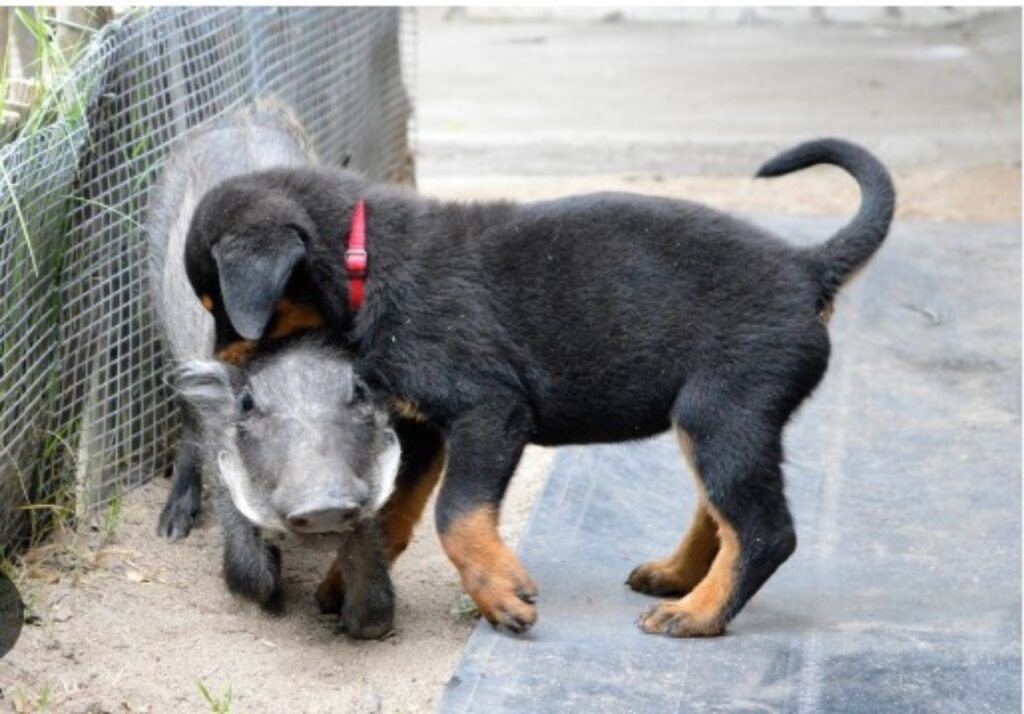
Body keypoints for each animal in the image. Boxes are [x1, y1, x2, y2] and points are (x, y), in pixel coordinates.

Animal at [184, 138, 897, 635]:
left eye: (220, 303)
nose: (213, 368)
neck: (366, 262)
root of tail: (808, 268)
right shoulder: (423, 428)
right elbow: (393, 514)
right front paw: (345, 582)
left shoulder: (488, 411)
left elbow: (455, 515)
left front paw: (502, 594)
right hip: (715, 421)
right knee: (721, 510)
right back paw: (676, 578)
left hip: (723, 411)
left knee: (765, 530)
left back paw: (698, 614)